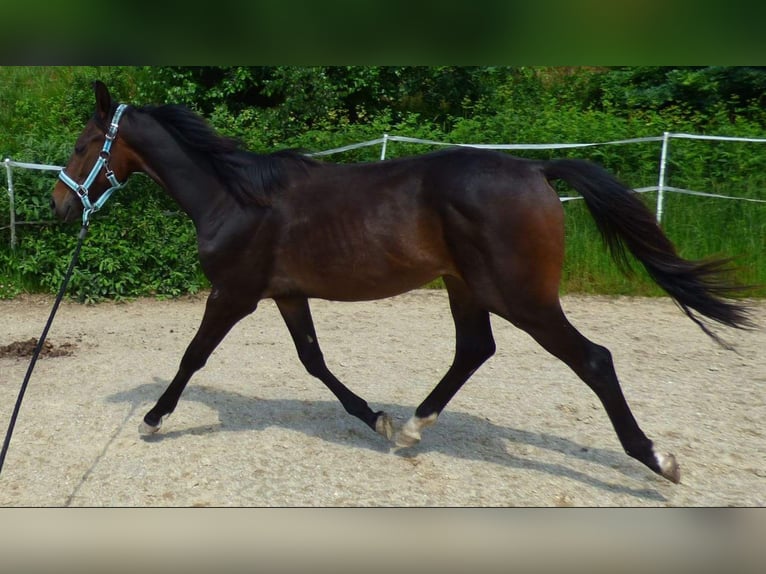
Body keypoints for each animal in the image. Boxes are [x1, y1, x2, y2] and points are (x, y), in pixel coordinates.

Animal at [51, 82, 752, 486]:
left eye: (85, 144)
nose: (59, 205)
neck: (235, 197)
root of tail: (536, 170)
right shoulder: (286, 294)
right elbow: (313, 361)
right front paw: (379, 420)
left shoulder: (234, 295)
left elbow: (193, 355)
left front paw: (151, 419)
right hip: (467, 288)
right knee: (475, 349)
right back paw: (414, 427)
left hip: (522, 297)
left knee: (594, 359)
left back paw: (657, 459)